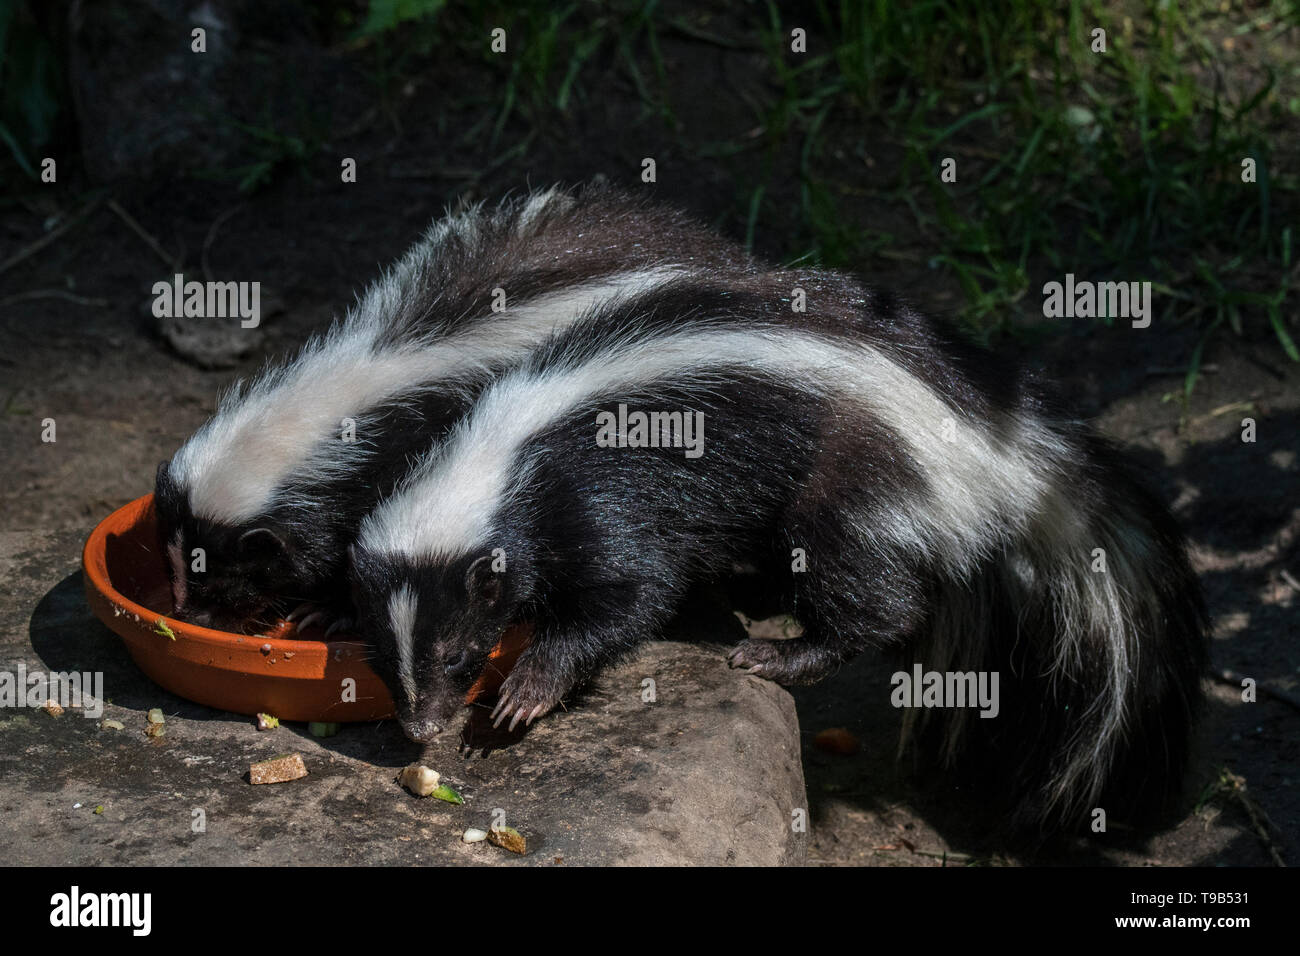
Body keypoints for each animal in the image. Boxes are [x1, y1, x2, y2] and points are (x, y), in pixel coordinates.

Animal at [348, 260, 1206, 832]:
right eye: (384, 657)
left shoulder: (596, 496)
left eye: (461, 656)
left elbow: (631, 592)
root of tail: (989, 426)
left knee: (866, 587)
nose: (420, 729)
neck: (498, 453)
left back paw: (779, 652)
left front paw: (529, 688)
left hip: (850, 467)